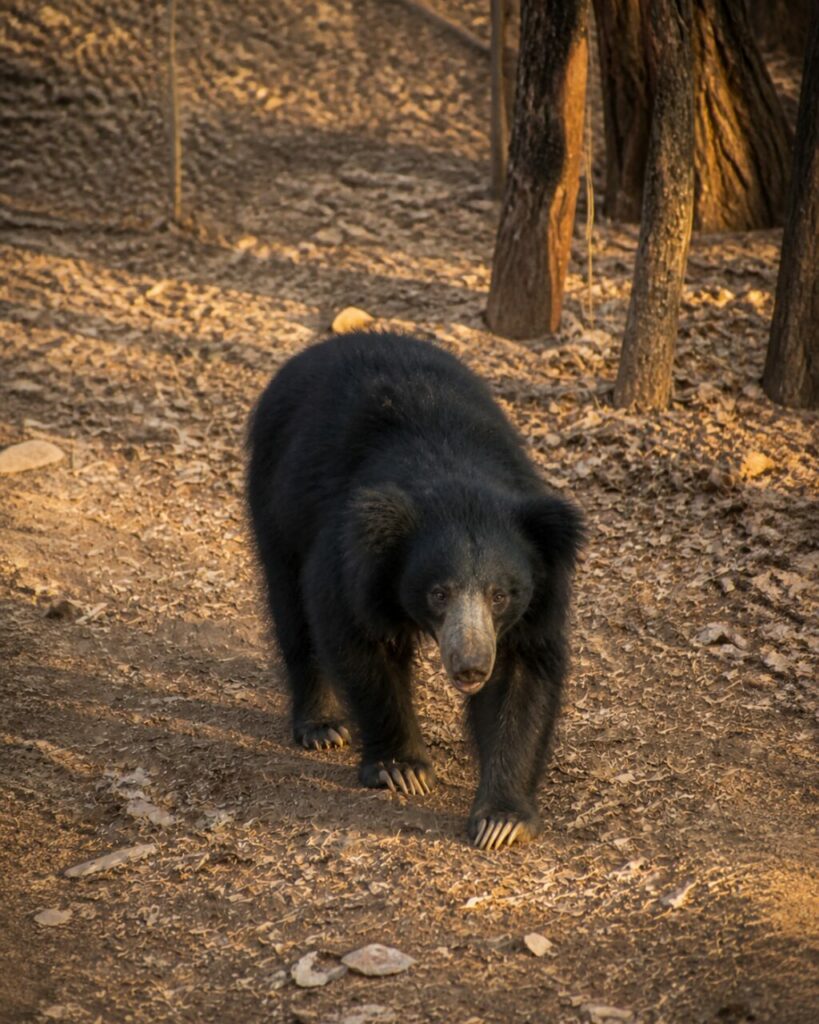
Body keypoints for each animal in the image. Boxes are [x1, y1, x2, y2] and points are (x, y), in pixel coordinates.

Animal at [246, 332, 582, 850]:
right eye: (439, 593)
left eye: (500, 595)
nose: (470, 666)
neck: (455, 478)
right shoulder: (349, 558)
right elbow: (357, 639)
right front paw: (402, 769)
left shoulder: (539, 598)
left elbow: (521, 675)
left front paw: (501, 821)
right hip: (275, 501)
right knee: (291, 610)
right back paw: (322, 726)